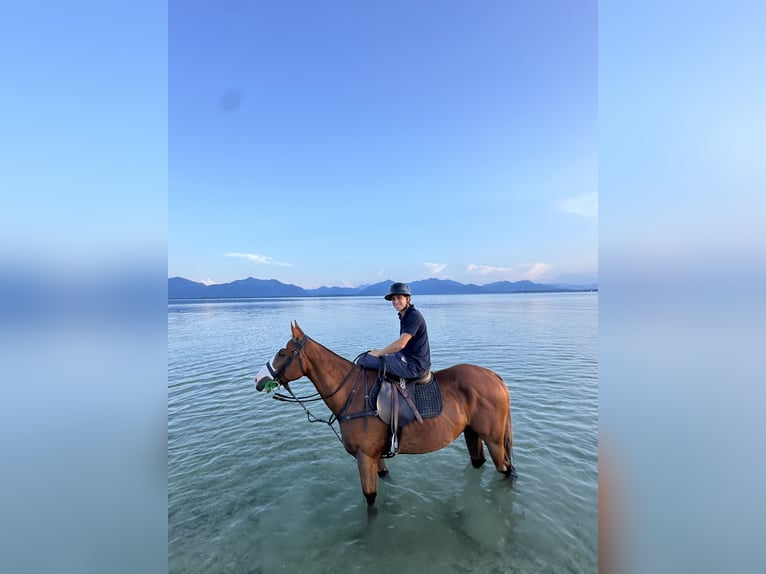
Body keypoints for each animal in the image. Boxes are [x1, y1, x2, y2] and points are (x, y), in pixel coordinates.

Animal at [254, 321, 517, 506]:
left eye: (282, 353)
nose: (258, 379)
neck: (354, 393)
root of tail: (494, 376)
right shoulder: (374, 457)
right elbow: (385, 479)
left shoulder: (364, 457)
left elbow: (370, 500)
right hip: (472, 432)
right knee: (480, 463)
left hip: (494, 440)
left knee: (506, 470)